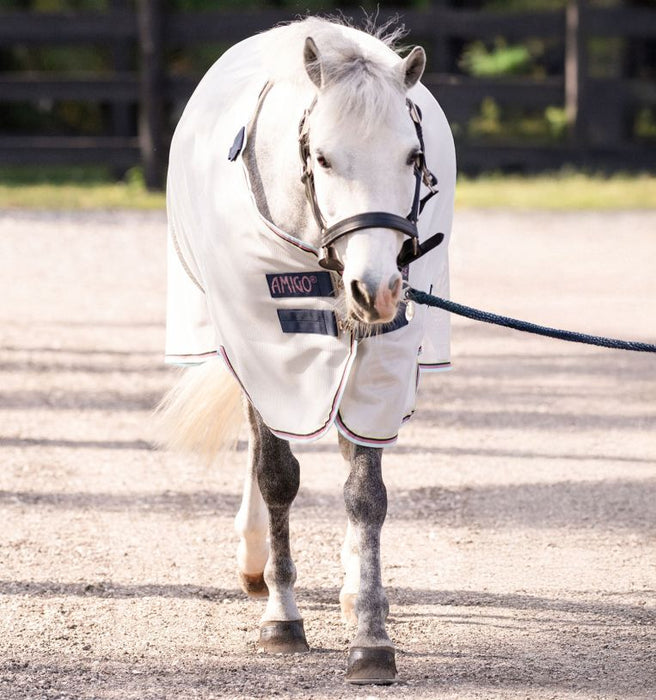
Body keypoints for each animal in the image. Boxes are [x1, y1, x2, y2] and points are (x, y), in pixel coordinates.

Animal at [159, 17, 456, 685]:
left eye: (413, 157)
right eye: (322, 156)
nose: (377, 288)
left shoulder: (380, 358)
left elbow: (365, 492)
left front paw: (371, 632)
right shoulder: (261, 342)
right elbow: (276, 475)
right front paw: (282, 617)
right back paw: (255, 564)